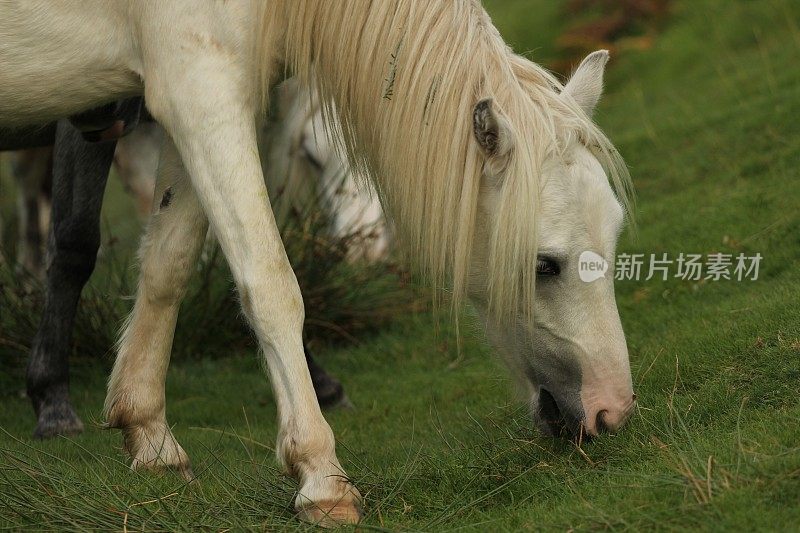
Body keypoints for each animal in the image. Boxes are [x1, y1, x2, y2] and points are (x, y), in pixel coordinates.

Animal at [1, 0, 636, 524]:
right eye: (544, 265)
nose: (610, 412)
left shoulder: (192, 105)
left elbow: (169, 263)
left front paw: (149, 436)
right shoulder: (201, 90)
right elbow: (269, 283)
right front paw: (321, 478)